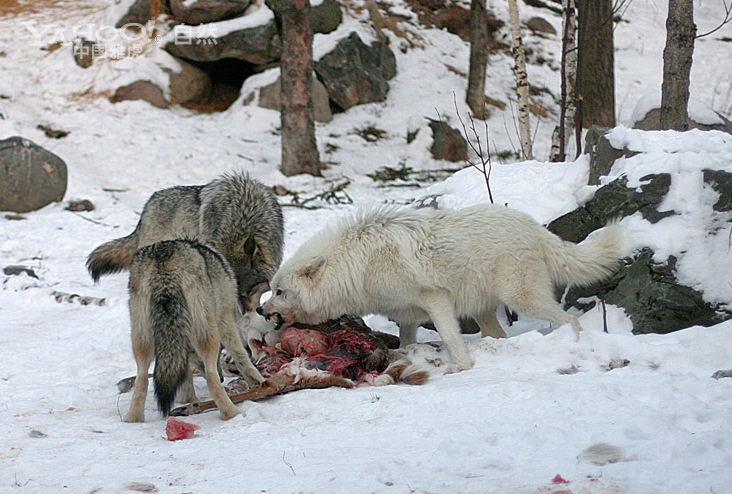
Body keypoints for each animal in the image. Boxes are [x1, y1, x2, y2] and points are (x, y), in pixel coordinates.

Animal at [124, 239, 264, 420]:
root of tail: (163, 265)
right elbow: (240, 355)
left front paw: (187, 400)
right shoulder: (226, 319)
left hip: (142, 342)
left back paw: (133, 419)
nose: (222, 377)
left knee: (141, 378)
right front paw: (259, 382)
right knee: (211, 378)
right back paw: (232, 413)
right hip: (208, 335)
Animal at [260, 204, 620, 370]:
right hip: (486, 310)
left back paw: (571, 343)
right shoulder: (406, 315)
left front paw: (461, 367)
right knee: (500, 336)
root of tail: (534, 226)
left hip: (523, 299)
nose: (262, 310)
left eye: (280, 292)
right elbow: (407, 342)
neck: (355, 265)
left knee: (569, 319)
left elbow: (449, 335)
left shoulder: (436, 300)